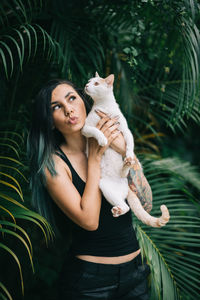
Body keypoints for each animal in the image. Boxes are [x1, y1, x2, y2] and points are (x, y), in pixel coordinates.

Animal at [81, 72, 170, 227]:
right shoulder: (85, 129)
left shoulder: (125, 131)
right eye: (89, 81)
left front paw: (128, 154)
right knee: (125, 206)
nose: (86, 85)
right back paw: (118, 209)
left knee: (126, 201)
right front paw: (103, 139)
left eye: (96, 83)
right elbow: (96, 130)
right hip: (104, 186)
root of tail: (126, 187)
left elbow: (129, 144)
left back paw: (128, 163)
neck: (105, 106)